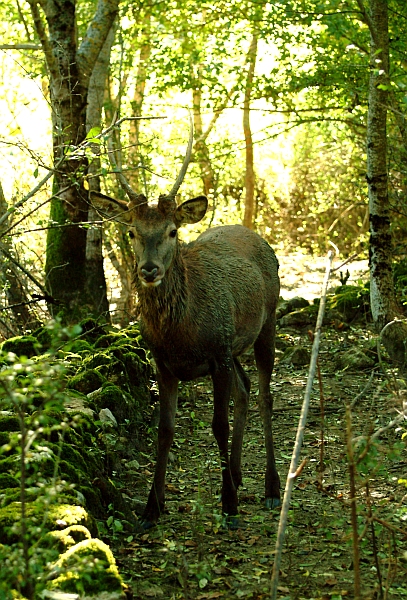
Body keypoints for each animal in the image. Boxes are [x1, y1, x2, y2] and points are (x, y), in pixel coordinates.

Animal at [92, 118, 282, 528]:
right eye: (131, 231)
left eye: (172, 231)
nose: (149, 270)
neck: (180, 334)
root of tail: (255, 234)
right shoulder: (163, 363)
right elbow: (164, 430)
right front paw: (152, 506)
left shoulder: (218, 351)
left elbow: (218, 425)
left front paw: (228, 507)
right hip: (236, 344)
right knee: (245, 389)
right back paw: (237, 475)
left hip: (268, 321)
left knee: (264, 395)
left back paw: (271, 487)